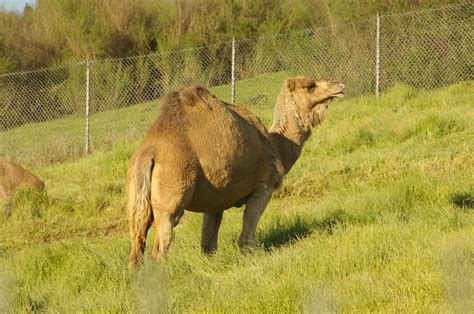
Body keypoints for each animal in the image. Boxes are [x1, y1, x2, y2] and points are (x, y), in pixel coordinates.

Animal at [126, 76, 344, 268]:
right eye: (310, 86)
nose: (338, 85)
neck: (275, 145)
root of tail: (148, 153)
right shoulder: (265, 185)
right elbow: (248, 228)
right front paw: (251, 256)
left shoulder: (215, 200)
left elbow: (208, 243)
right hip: (172, 195)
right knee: (160, 248)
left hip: (136, 199)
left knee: (137, 247)